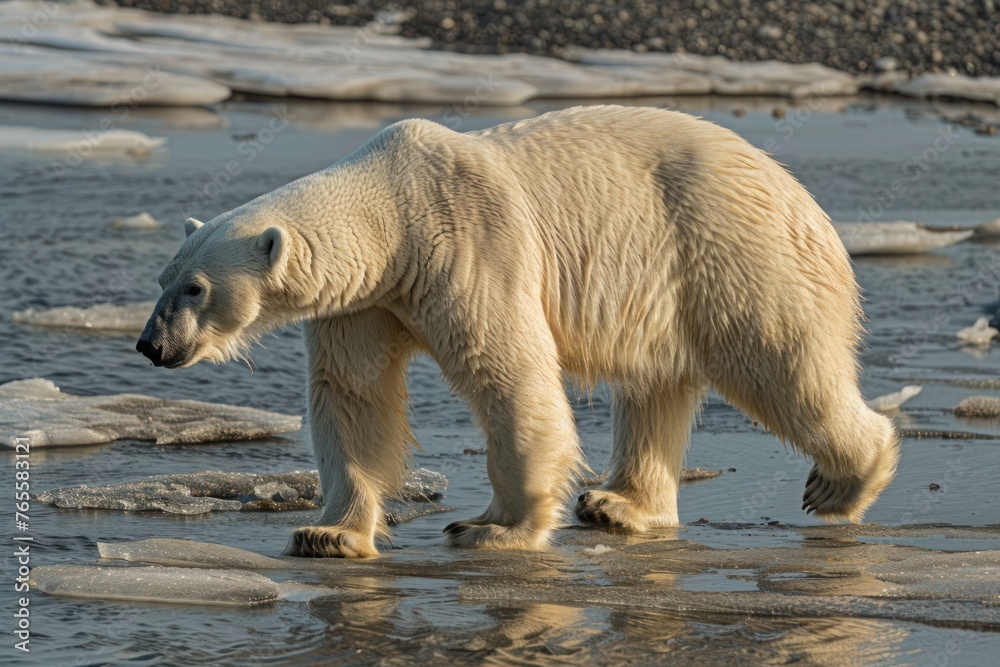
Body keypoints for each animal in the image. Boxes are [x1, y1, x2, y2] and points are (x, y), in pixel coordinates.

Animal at [137, 105, 899, 558]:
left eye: (195, 288)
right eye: (161, 279)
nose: (151, 345)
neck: (394, 207)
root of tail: (804, 200)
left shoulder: (470, 241)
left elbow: (506, 372)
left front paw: (495, 526)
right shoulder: (365, 302)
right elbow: (353, 396)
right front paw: (329, 532)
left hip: (731, 250)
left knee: (779, 362)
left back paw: (842, 482)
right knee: (655, 386)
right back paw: (620, 505)